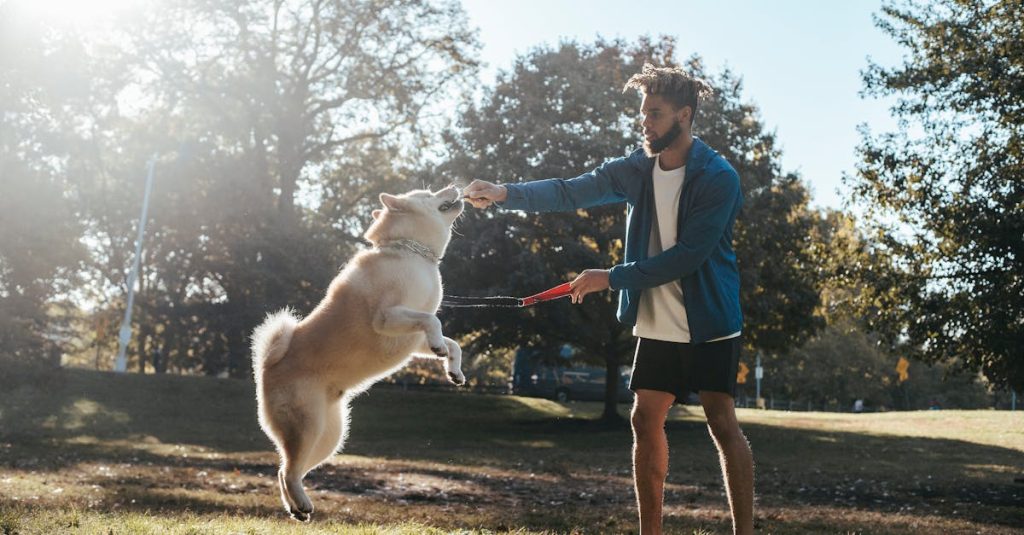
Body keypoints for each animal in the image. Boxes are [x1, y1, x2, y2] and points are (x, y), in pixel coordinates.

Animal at [249, 185, 466, 518]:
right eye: (429, 193)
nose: (454, 186)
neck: (412, 252)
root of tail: (267, 367)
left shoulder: (413, 337)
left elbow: (450, 340)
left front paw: (453, 368)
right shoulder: (388, 317)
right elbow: (434, 320)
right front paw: (441, 347)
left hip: (330, 437)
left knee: (287, 470)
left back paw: (297, 507)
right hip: (309, 426)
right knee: (288, 470)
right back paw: (301, 502)